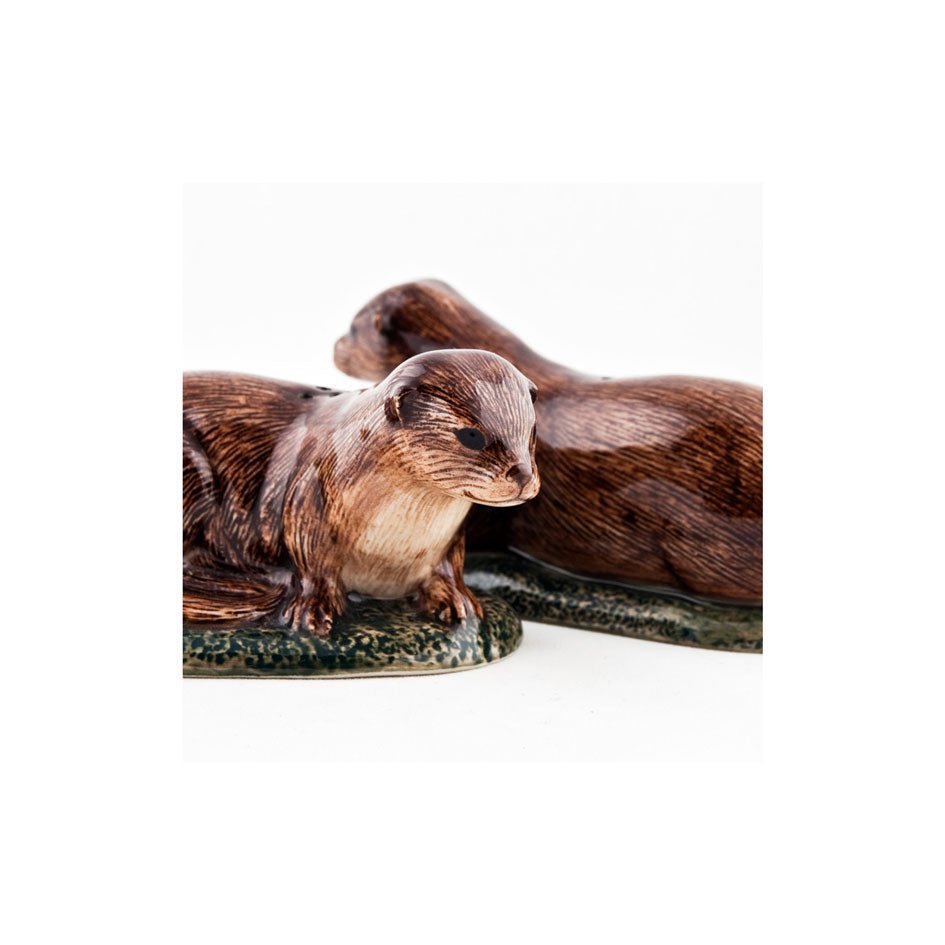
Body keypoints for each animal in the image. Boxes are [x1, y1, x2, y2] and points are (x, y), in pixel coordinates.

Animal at [183, 349, 539, 634]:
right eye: (471, 435)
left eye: (532, 430)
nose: (523, 475)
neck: (390, 550)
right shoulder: (306, 503)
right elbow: (312, 566)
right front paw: (313, 608)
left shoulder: (449, 540)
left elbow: (450, 566)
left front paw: (457, 598)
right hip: (193, 471)